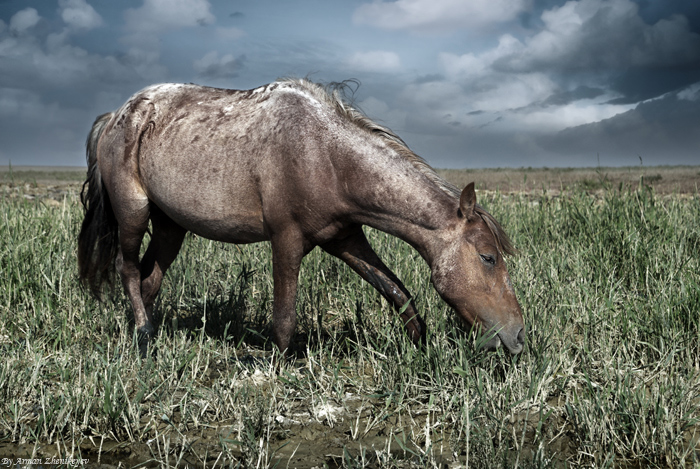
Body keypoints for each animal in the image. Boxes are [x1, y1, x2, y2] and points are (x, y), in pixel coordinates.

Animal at [78, 77, 524, 354]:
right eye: (488, 257)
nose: (518, 335)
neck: (327, 156)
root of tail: (115, 116)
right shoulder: (287, 239)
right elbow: (284, 319)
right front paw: (270, 362)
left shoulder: (345, 238)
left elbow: (398, 292)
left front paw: (421, 348)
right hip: (133, 214)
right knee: (127, 270)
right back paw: (142, 335)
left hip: (171, 228)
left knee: (149, 280)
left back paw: (152, 332)